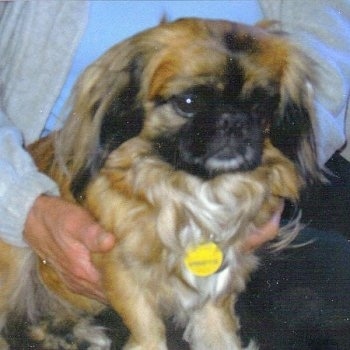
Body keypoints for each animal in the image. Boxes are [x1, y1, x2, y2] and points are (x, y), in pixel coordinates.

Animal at [0, 17, 322, 348]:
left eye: (260, 107)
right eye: (189, 102)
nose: (234, 120)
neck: (197, 188)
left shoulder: (225, 268)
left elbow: (215, 320)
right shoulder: (121, 267)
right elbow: (147, 325)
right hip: (16, 254)